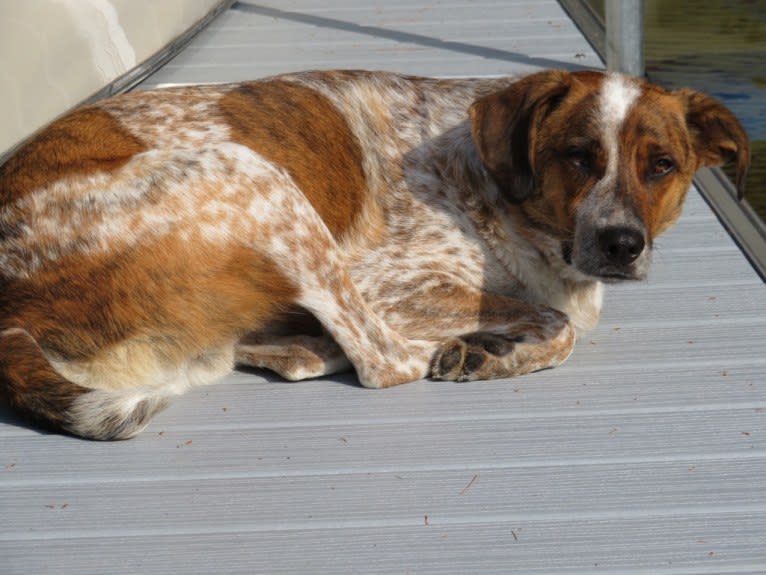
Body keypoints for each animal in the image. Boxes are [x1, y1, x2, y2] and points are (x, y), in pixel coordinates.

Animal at [0, 70, 752, 438]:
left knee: (283, 355)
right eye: (578, 156)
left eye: (662, 166)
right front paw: (490, 347)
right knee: (380, 361)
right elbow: (561, 326)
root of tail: (12, 309)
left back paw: (308, 346)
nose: (623, 245)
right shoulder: (388, 281)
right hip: (260, 178)